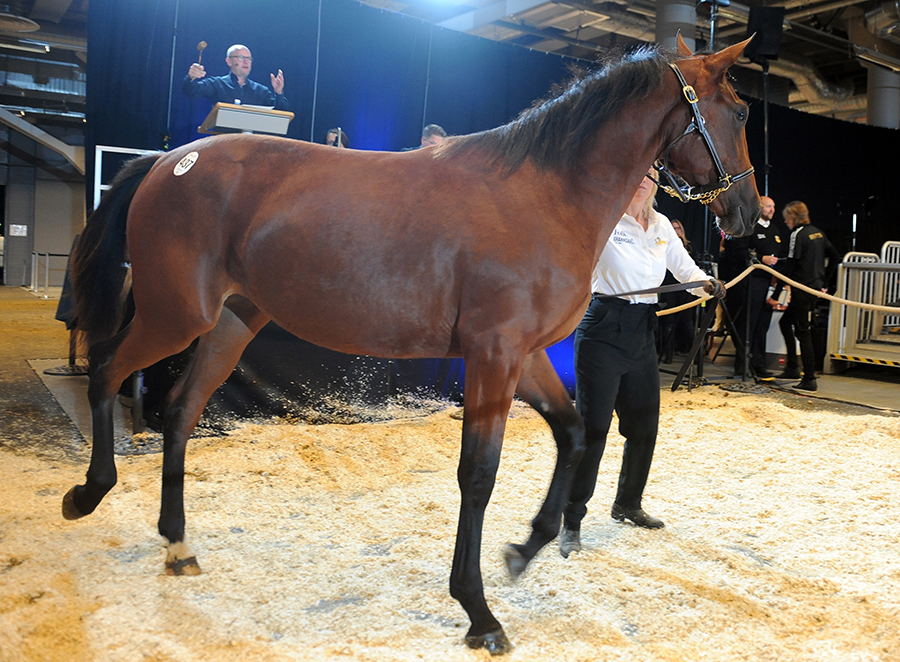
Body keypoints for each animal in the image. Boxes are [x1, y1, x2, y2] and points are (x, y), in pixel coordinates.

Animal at [65, 39, 760, 656]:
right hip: (173, 316)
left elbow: (573, 433)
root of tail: (168, 161)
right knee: (105, 370)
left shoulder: (525, 356)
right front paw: (479, 611)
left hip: (230, 323)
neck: (545, 193)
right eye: (741, 112)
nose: (749, 213)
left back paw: (177, 545)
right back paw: (87, 493)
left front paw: (525, 549)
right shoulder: (493, 357)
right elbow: (478, 474)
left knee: (181, 410)